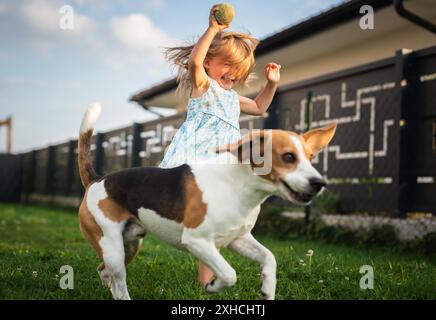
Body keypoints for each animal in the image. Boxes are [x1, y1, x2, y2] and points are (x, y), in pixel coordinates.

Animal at [78, 103, 338, 300]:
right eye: (288, 157)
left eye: (311, 157)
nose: (320, 183)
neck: (239, 186)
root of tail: (97, 179)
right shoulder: (197, 242)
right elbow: (230, 274)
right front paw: (213, 286)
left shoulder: (238, 239)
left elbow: (269, 258)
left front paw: (267, 289)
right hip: (113, 248)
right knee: (120, 286)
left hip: (130, 245)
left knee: (105, 274)